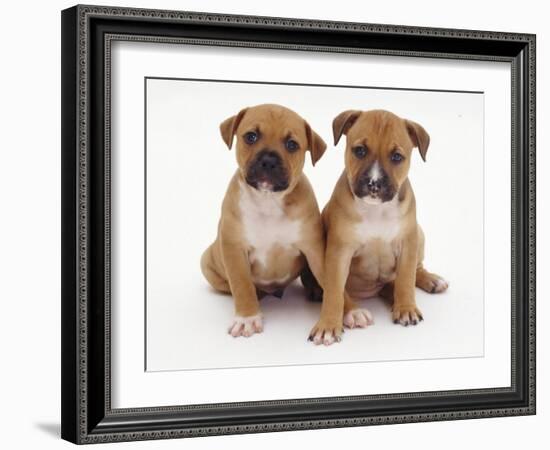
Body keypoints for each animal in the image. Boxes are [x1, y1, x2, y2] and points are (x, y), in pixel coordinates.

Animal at [203, 104, 330, 338]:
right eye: (251, 137)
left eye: (291, 144)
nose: (269, 160)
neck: (268, 200)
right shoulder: (234, 249)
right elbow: (242, 284)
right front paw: (247, 318)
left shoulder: (315, 249)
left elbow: (331, 279)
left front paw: (350, 311)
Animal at [310, 108, 448, 344]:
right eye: (359, 151)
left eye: (396, 157)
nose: (374, 184)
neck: (376, 210)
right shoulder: (339, 252)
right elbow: (335, 291)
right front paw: (328, 324)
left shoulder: (408, 242)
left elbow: (406, 279)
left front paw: (406, 308)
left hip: (419, 234)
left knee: (412, 272)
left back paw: (430, 280)